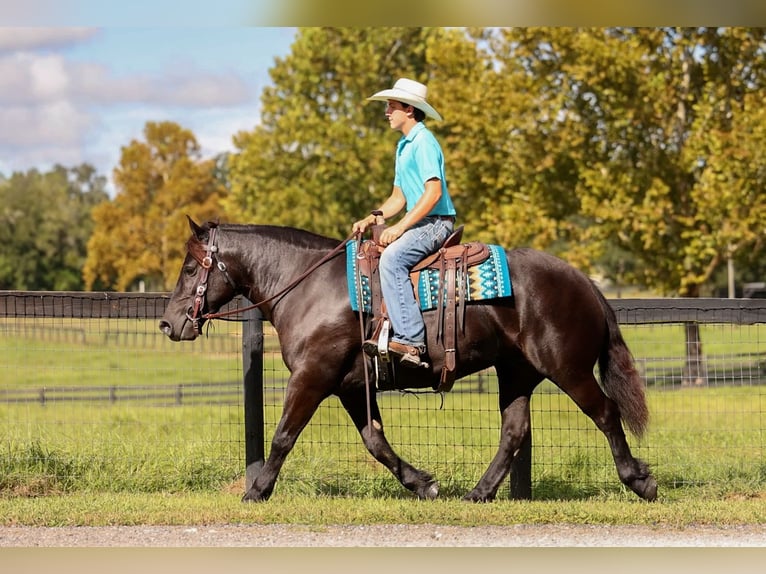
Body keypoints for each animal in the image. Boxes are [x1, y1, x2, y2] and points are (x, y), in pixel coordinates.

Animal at [159, 217, 658, 503]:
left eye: (190, 267)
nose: (168, 323)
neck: (309, 286)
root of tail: (583, 281)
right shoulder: (350, 387)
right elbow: (376, 443)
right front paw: (423, 484)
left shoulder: (312, 377)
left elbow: (283, 436)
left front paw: (258, 491)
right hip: (516, 373)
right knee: (514, 431)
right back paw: (478, 493)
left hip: (568, 369)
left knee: (606, 413)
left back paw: (639, 481)